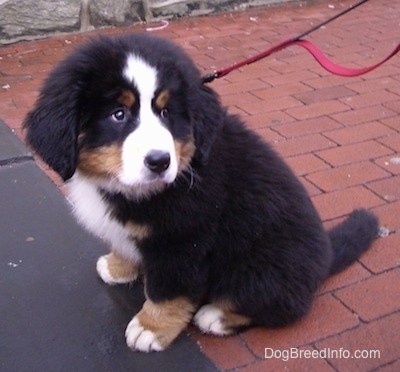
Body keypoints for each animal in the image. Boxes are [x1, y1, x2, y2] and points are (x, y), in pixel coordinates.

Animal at [23, 32, 380, 352]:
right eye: (118, 114)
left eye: (166, 113)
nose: (159, 162)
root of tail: (326, 258)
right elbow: (124, 243)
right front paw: (117, 267)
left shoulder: (183, 241)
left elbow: (168, 292)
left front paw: (151, 328)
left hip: (264, 264)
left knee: (283, 306)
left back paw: (217, 316)